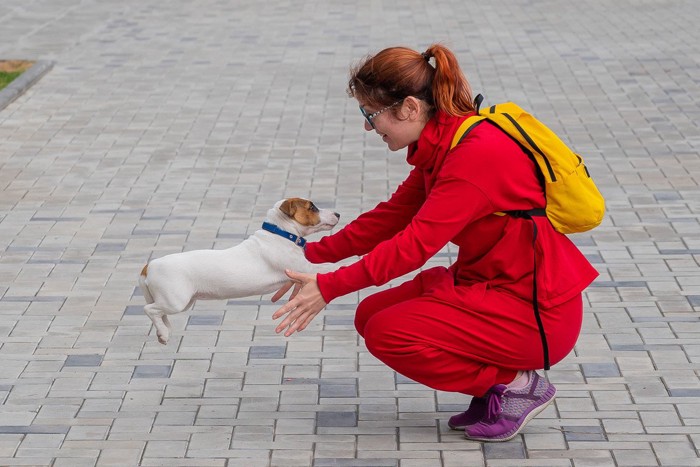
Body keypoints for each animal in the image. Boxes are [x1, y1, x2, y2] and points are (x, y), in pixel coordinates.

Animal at [138, 197, 340, 344]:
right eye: (312, 207)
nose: (338, 213)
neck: (280, 233)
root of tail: (149, 266)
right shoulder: (302, 267)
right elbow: (325, 266)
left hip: (178, 301)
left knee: (160, 313)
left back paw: (163, 332)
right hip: (175, 301)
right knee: (150, 309)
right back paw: (163, 332)